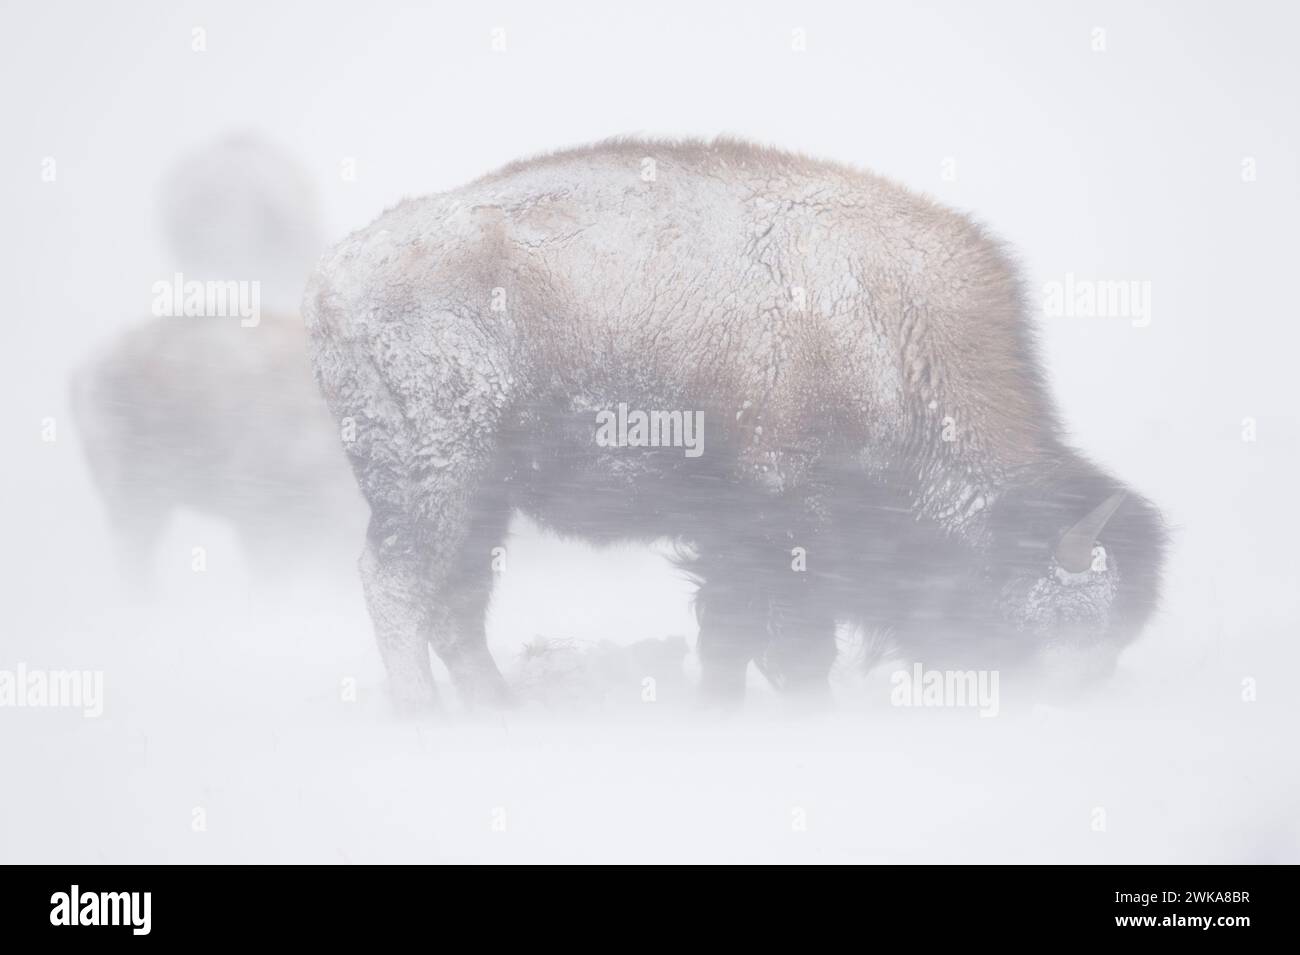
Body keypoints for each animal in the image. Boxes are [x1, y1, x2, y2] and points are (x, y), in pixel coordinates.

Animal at [304, 138, 1170, 712]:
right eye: (1052, 632)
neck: (890, 340)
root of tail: (337, 272)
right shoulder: (783, 525)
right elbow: (786, 646)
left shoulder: (732, 538)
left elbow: (731, 633)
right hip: (434, 479)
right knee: (398, 584)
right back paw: (424, 717)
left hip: (482, 496)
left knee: (456, 600)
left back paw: (499, 709)